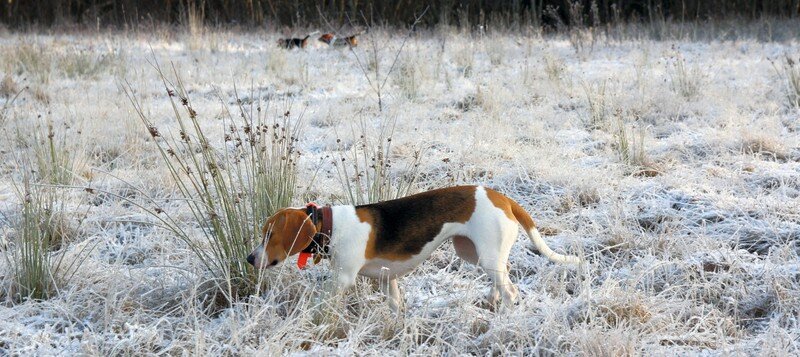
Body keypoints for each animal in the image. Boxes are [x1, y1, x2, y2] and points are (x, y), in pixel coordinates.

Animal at [247, 185, 580, 310]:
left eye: (269, 234)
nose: (250, 258)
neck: (330, 225)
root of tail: (502, 197)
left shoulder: (341, 280)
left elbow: (321, 304)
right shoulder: (387, 279)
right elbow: (395, 305)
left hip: (486, 255)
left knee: (510, 290)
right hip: (475, 254)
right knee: (503, 278)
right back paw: (491, 300)